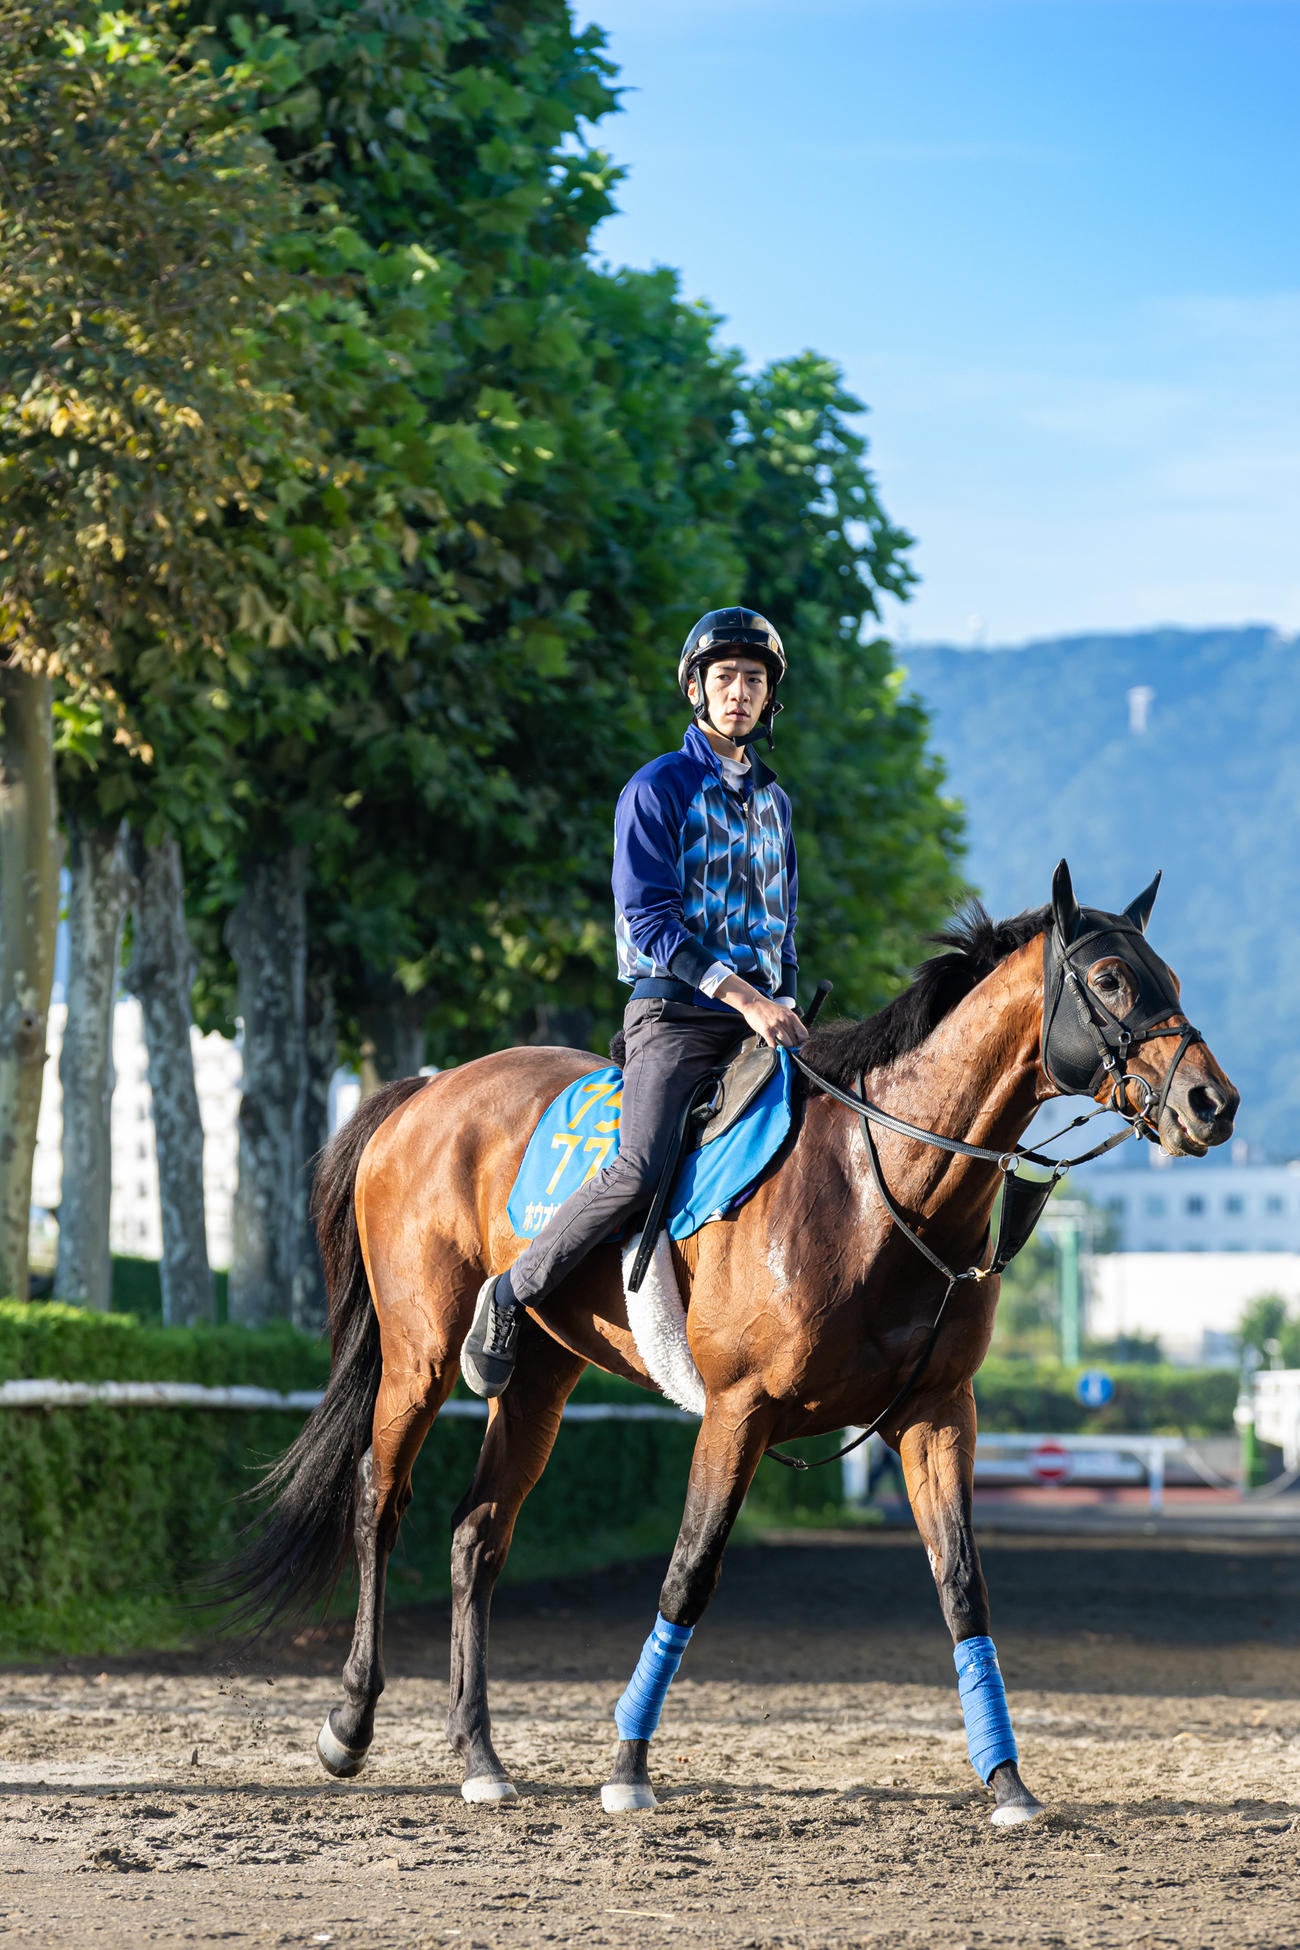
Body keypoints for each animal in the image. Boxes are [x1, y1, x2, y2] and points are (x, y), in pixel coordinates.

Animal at [227, 861, 1237, 1826]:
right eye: (1109, 979)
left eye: (1173, 978)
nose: (1211, 1102)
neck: (879, 1186)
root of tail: (426, 1090)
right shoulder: (738, 1409)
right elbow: (688, 1575)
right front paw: (627, 1767)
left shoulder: (937, 1412)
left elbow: (962, 1586)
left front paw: (1008, 1782)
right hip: (422, 1354)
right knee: (379, 1499)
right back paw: (349, 1724)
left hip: (543, 1378)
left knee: (477, 1535)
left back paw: (479, 1756)